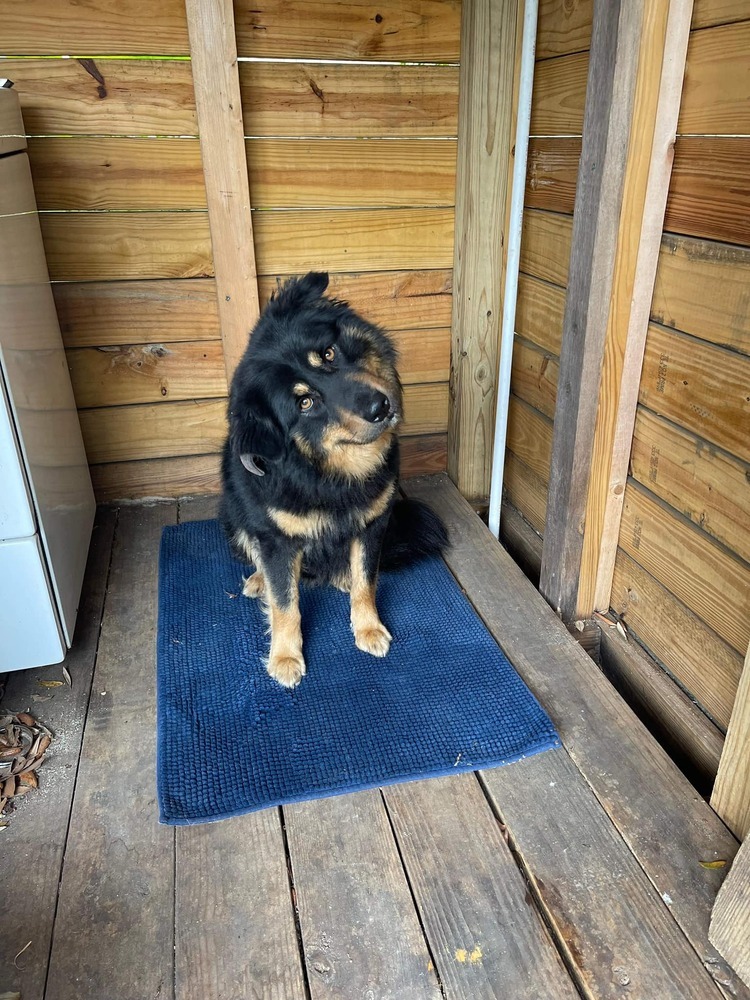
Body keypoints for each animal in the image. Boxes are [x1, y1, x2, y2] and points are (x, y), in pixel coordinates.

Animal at [220, 278, 450, 692]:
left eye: (328, 354)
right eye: (305, 403)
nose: (380, 407)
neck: (329, 474)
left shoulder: (373, 523)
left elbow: (366, 580)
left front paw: (368, 628)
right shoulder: (278, 540)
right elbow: (285, 604)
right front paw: (284, 657)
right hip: (234, 513)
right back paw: (260, 580)